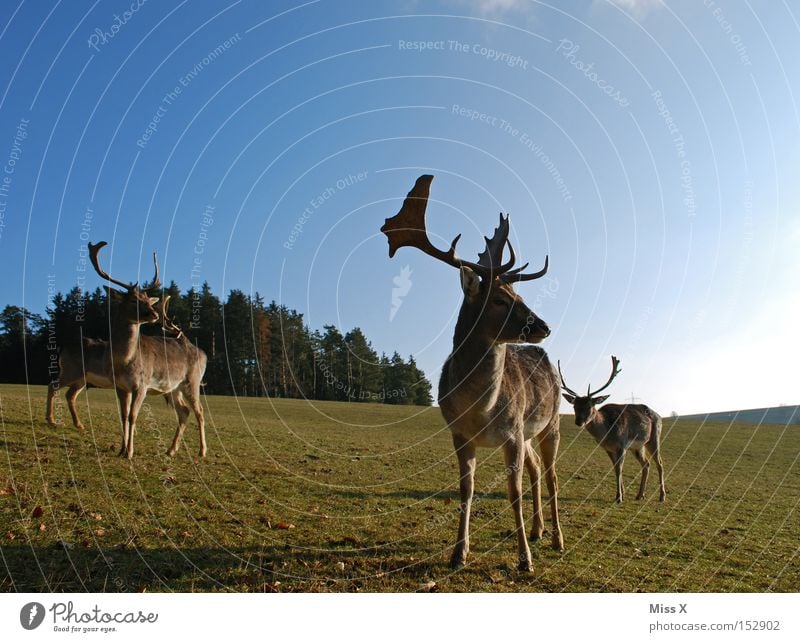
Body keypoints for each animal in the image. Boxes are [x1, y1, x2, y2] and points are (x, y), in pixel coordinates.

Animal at [88, 242, 208, 458]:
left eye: (146, 299)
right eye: (133, 300)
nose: (153, 313)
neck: (124, 361)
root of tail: (202, 353)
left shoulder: (141, 384)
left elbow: (133, 416)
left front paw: (129, 452)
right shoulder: (120, 386)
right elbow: (123, 415)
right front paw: (121, 449)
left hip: (193, 381)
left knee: (199, 411)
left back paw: (202, 451)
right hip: (174, 387)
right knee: (184, 411)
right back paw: (171, 450)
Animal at [382, 172, 564, 568]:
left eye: (520, 296)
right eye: (498, 299)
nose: (543, 326)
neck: (480, 411)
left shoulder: (512, 433)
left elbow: (512, 492)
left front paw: (525, 559)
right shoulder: (460, 434)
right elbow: (466, 490)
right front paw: (458, 553)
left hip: (551, 423)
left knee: (553, 476)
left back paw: (557, 539)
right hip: (529, 433)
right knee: (537, 470)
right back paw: (539, 530)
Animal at [560, 356, 664, 500]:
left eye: (589, 406)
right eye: (574, 406)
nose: (578, 421)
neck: (607, 432)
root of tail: (660, 417)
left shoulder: (622, 445)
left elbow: (619, 469)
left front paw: (619, 497)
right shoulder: (607, 448)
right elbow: (615, 468)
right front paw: (622, 494)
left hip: (654, 438)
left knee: (659, 463)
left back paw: (662, 496)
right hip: (637, 446)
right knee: (646, 464)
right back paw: (640, 495)